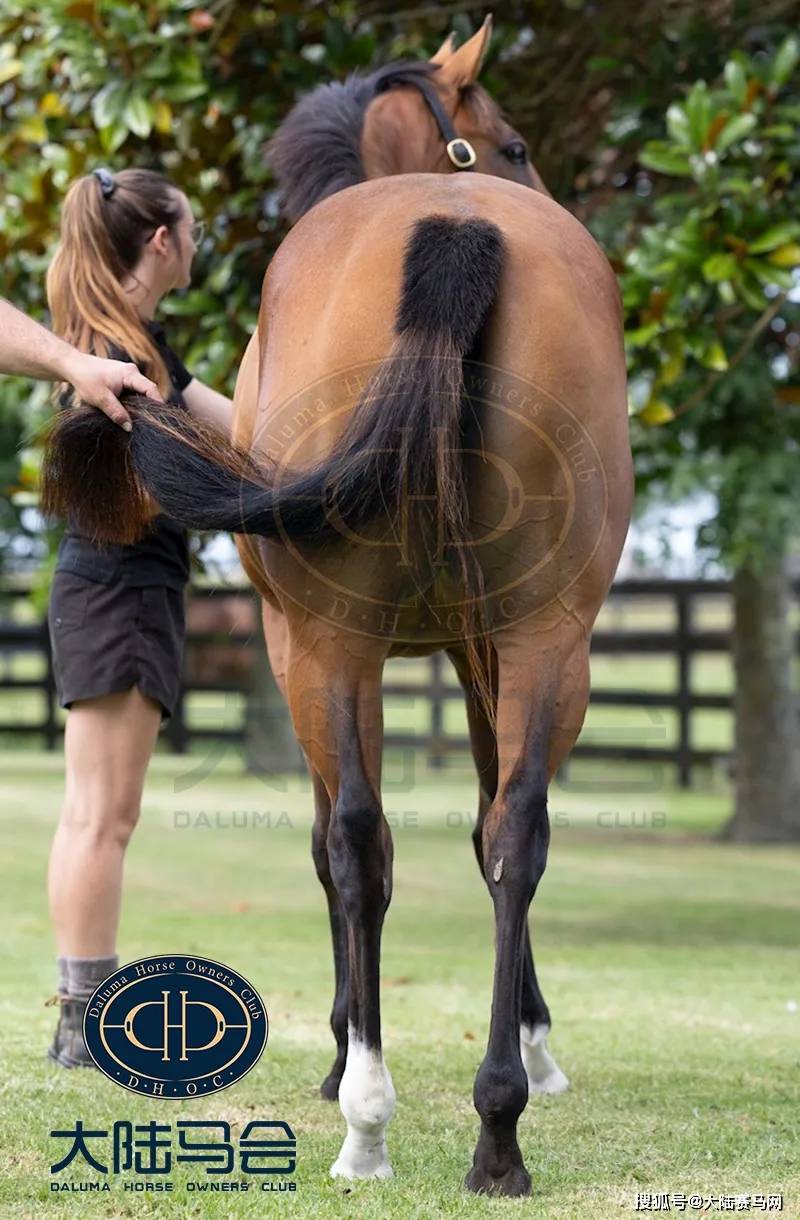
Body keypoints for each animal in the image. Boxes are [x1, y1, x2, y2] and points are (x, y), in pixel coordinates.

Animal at [42, 16, 629, 1200]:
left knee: (358, 840)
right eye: (514, 142)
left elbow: (333, 843)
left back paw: (370, 1117)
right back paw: (495, 1132)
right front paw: (530, 1047)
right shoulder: (480, 647)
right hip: (545, 635)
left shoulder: (303, 646)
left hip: (331, 644)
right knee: (515, 826)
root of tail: (452, 226)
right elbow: (489, 820)